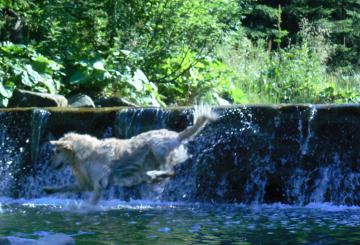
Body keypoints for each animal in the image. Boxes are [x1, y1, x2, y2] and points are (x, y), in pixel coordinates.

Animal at [42, 107, 217, 205]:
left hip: (156, 147)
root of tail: (178, 136)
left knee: (170, 171)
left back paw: (153, 174)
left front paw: (84, 210)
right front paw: (49, 189)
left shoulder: (100, 183)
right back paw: (153, 177)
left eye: (56, 151)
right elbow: (65, 187)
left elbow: (91, 201)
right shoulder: (86, 183)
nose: (49, 164)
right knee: (167, 174)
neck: (85, 154)